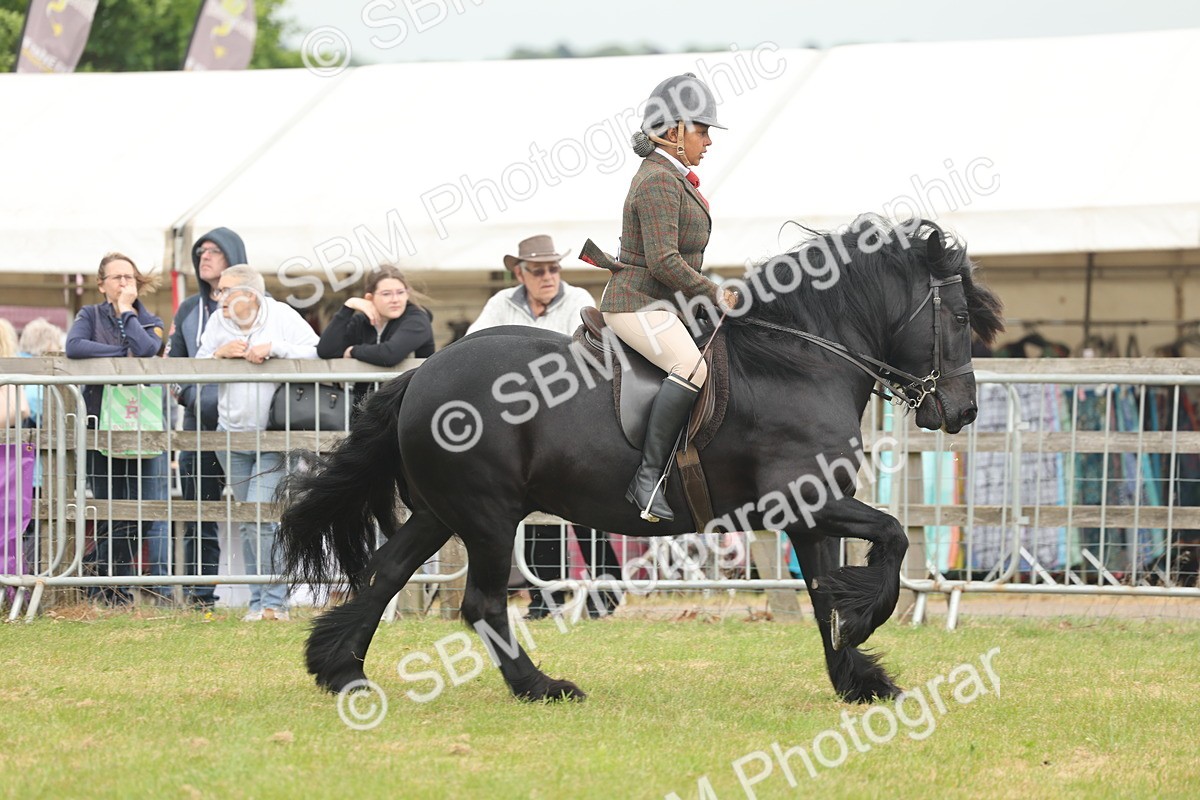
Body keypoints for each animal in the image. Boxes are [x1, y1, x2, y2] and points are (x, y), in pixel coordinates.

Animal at [277, 216, 1004, 704]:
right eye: (959, 316)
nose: (964, 411)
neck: (799, 360)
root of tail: (420, 375)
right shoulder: (812, 499)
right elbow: (892, 537)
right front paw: (866, 620)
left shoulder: (808, 513)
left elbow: (826, 590)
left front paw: (858, 677)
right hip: (488, 516)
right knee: (481, 602)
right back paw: (541, 686)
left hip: (440, 512)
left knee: (383, 574)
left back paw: (341, 670)